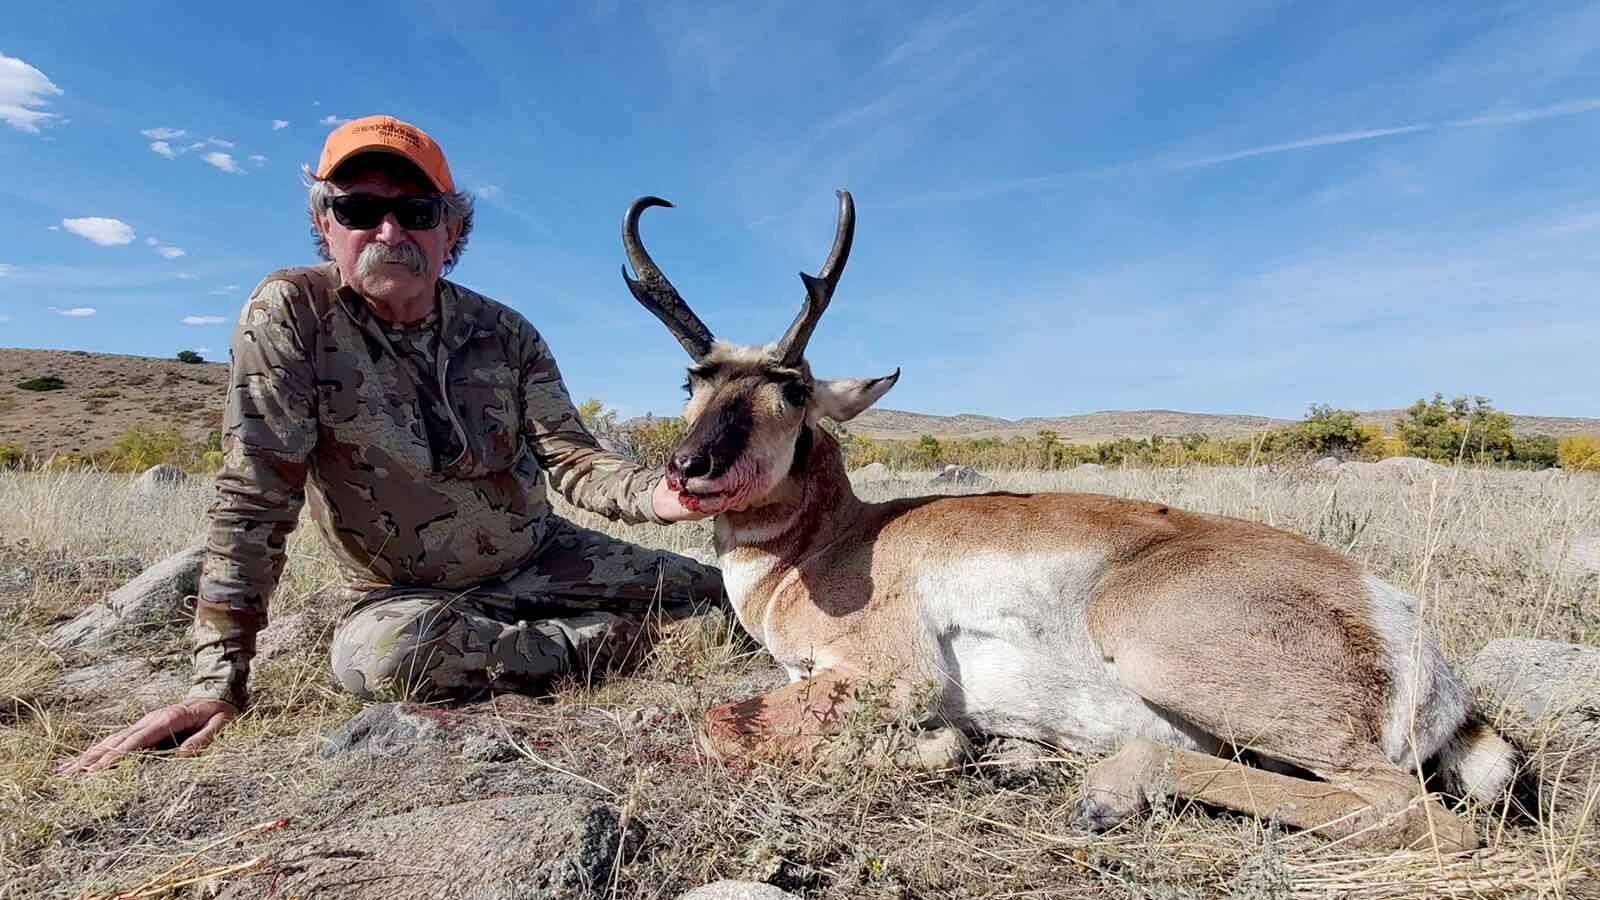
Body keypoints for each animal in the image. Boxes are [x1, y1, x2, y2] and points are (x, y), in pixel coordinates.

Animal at [620, 190, 1519, 851]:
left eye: (795, 387)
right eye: (692, 381)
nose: (688, 468)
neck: (833, 544)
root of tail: (1400, 623)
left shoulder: (886, 676)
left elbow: (718, 724)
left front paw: (943, 747)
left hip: (1154, 644)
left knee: (1411, 811)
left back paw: (1109, 786)